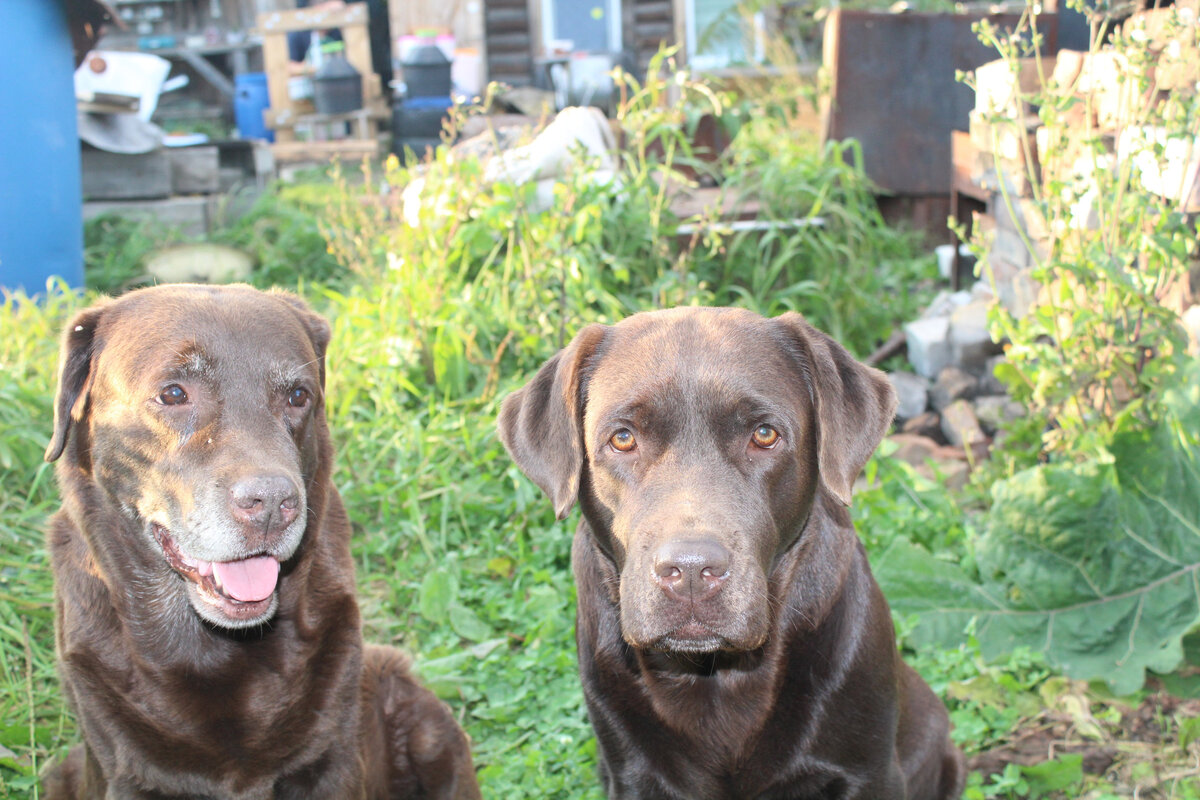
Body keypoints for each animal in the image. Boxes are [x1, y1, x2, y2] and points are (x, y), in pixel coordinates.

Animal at [42, 286, 482, 800]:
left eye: (298, 395)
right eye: (173, 393)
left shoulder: (331, 761)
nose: (272, 503)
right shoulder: (126, 775)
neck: (215, 649)